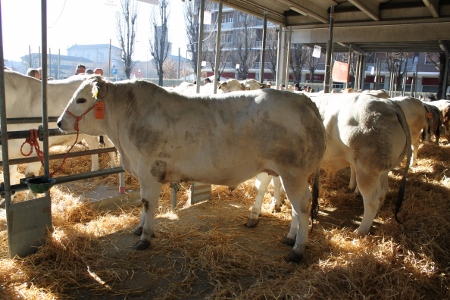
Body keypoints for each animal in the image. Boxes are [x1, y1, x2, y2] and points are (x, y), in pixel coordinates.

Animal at [58, 77, 326, 262]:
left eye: (82, 99)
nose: (60, 122)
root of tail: (302, 99)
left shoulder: (149, 170)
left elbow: (148, 203)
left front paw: (145, 236)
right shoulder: (144, 173)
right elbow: (144, 203)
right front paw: (139, 228)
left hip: (293, 172)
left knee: (301, 205)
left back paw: (297, 249)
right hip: (288, 173)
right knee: (295, 207)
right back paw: (290, 237)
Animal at [246, 94, 412, 237]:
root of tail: (389, 104)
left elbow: (260, 186)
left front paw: (255, 214)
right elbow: (276, 183)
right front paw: (277, 203)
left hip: (367, 170)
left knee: (372, 199)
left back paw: (361, 230)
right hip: (382, 171)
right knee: (383, 191)